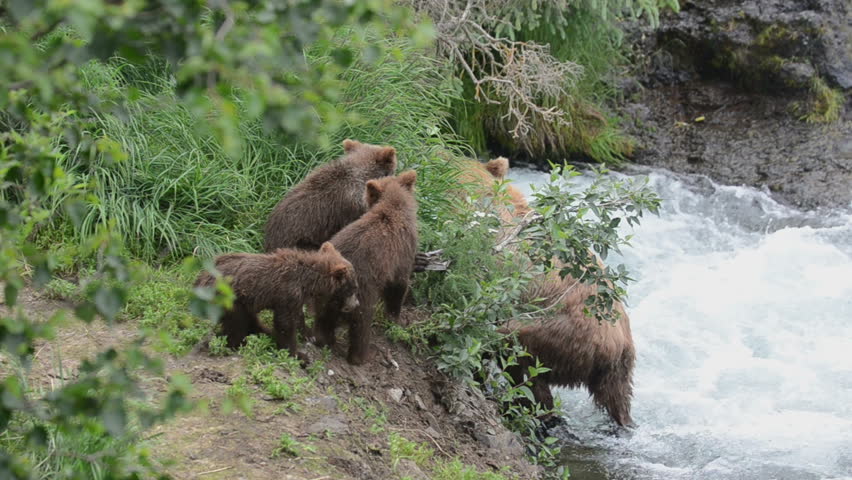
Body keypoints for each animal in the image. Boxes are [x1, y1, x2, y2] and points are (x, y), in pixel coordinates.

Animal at [195, 242, 360, 358]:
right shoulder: (287, 293)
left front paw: (308, 334)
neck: (307, 282)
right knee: (237, 323)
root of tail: (200, 279)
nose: (356, 304)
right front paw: (297, 354)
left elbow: (297, 317)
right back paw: (235, 342)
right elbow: (285, 324)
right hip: (229, 298)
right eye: (353, 288)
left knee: (248, 320)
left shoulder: (295, 298)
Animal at [313, 171, 419, 365]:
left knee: (325, 319)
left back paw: (324, 340)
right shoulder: (402, 253)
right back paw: (362, 356)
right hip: (360, 293)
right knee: (361, 324)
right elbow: (398, 286)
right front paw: (395, 318)